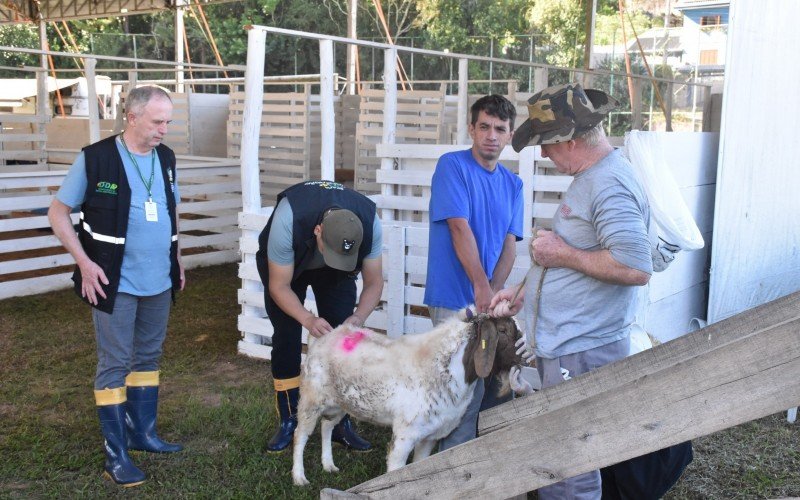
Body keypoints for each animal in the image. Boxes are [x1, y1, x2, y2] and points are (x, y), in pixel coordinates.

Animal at [290, 316, 520, 484]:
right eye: (503, 331)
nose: (523, 357)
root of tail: (320, 337)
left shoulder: (430, 436)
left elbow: (419, 466)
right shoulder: (404, 435)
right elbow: (396, 472)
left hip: (339, 402)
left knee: (327, 426)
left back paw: (328, 465)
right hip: (311, 398)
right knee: (300, 434)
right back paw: (299, 477)